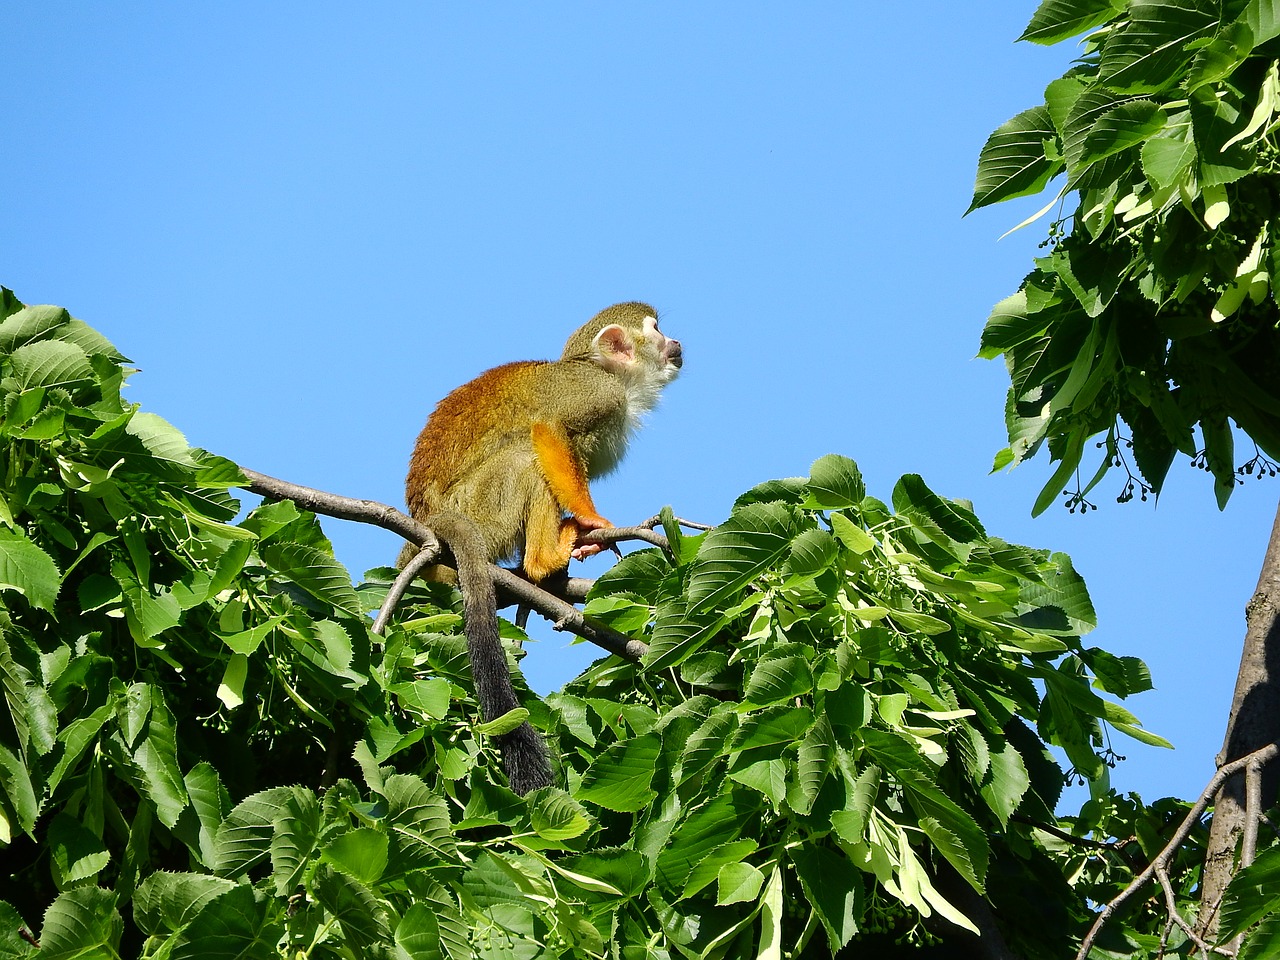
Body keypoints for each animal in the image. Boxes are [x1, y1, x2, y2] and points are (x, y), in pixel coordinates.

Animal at [401, 302, 686, 798]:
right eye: (656, 330)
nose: (676, 343)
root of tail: (427, 518)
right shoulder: (598, 393)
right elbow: (549, 429)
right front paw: (593, 521)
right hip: (479, 510)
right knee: (524, 453)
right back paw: (542, 561)